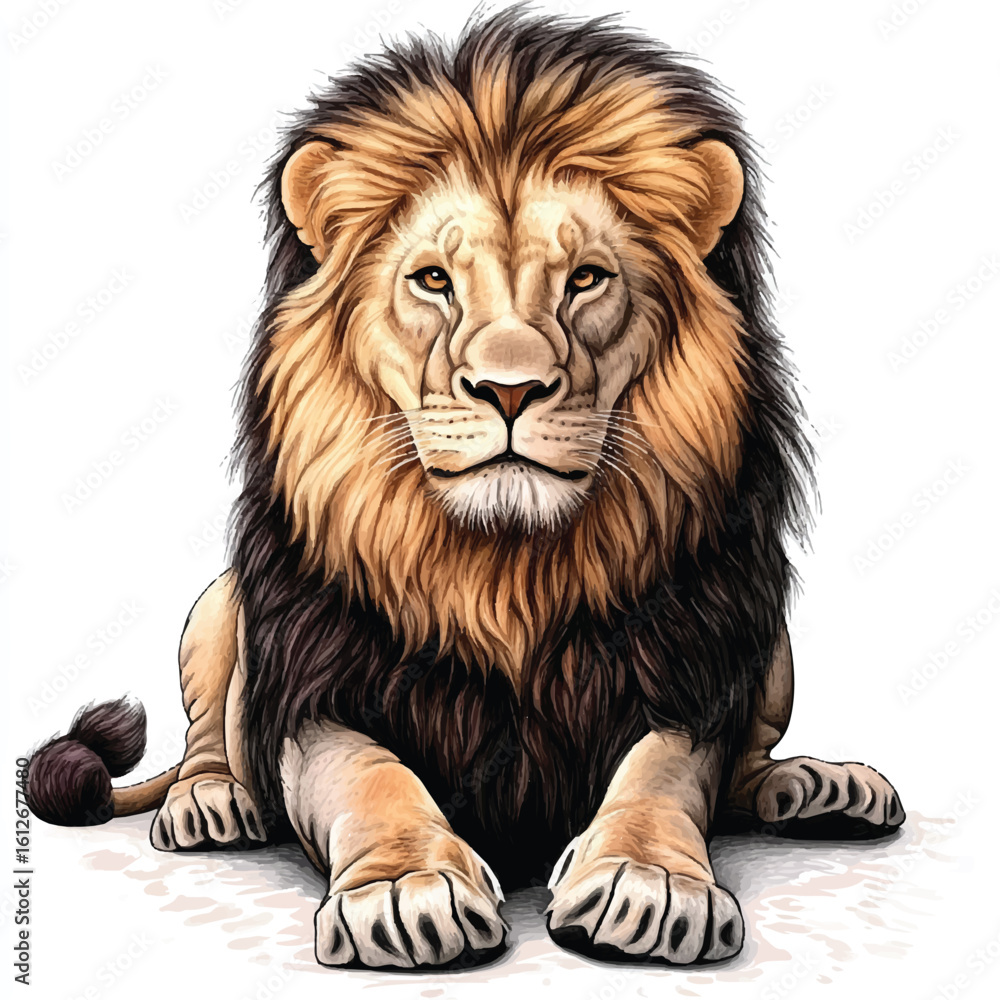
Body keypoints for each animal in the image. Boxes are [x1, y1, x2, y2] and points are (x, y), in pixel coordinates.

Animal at [26, 11, 904, 969]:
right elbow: (370, 776)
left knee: (750, 763)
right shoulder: (319, 684)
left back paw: (820, 785)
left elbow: (664, 774)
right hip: (219, 605)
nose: (509, 390)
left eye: (586, 278)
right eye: (434, 281)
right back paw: (211, 800)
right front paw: (406, 889)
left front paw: (648, 878)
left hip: (767, 636)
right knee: (207, 733)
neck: (502, 568)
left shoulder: (686, 664)